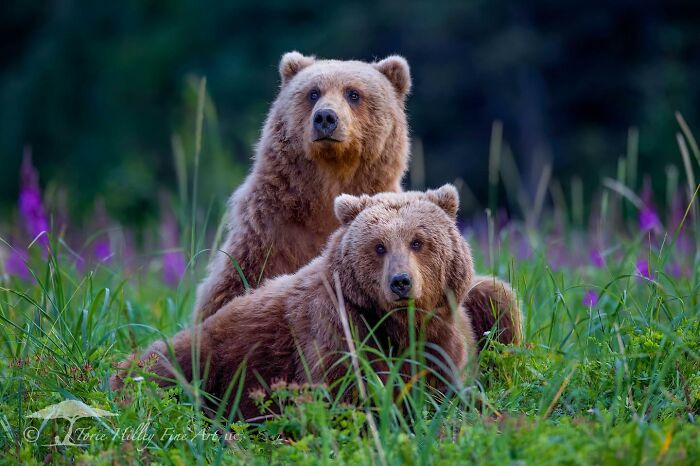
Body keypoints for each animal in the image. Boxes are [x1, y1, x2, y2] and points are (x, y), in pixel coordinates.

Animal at [112, 186, 482, 420]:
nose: (401, 281)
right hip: (210, 358)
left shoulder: (438, 334)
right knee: (163, 367)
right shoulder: (337, 327)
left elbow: (436, 384)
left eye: (418, 241)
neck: (398, 324)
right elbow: (345, 390)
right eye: (378, 246)